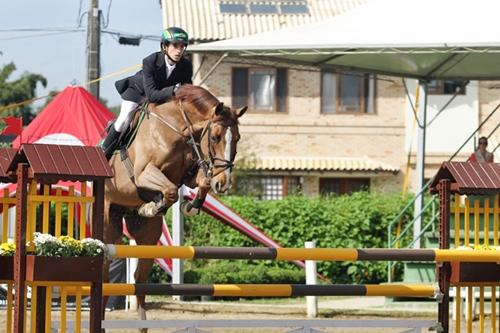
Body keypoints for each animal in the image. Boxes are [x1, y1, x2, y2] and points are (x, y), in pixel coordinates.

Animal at [104, 83, 248, 330]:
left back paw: (142, 327)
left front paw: (190, 205)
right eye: (215, 137)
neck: (180, 129)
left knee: (138, 280)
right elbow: (170, 190)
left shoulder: (189, 174)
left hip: (146, 236)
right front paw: (151, 207)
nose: (224, 183)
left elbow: (201, 182)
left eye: (237, 138)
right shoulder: (144, 173)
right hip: (105, 221)